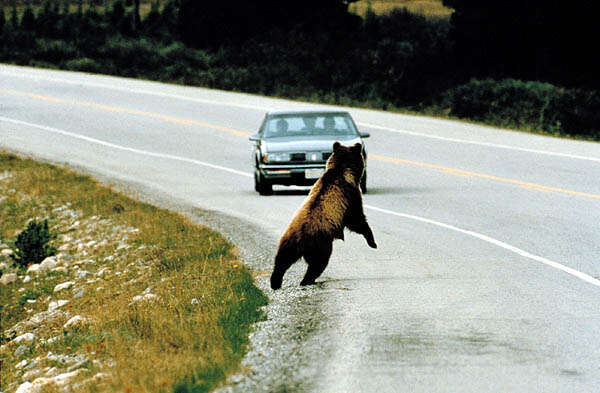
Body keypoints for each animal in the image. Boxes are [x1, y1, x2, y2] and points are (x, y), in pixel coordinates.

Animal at [270, 142, 378, 290]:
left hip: (288, 241)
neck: (342, 170)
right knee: (318, 263)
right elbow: (356, 220)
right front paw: (372, 242)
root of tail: (301, 240)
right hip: (321, 243)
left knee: (282, 260)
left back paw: (275, 282)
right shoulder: (350, 196)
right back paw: (308, 280)